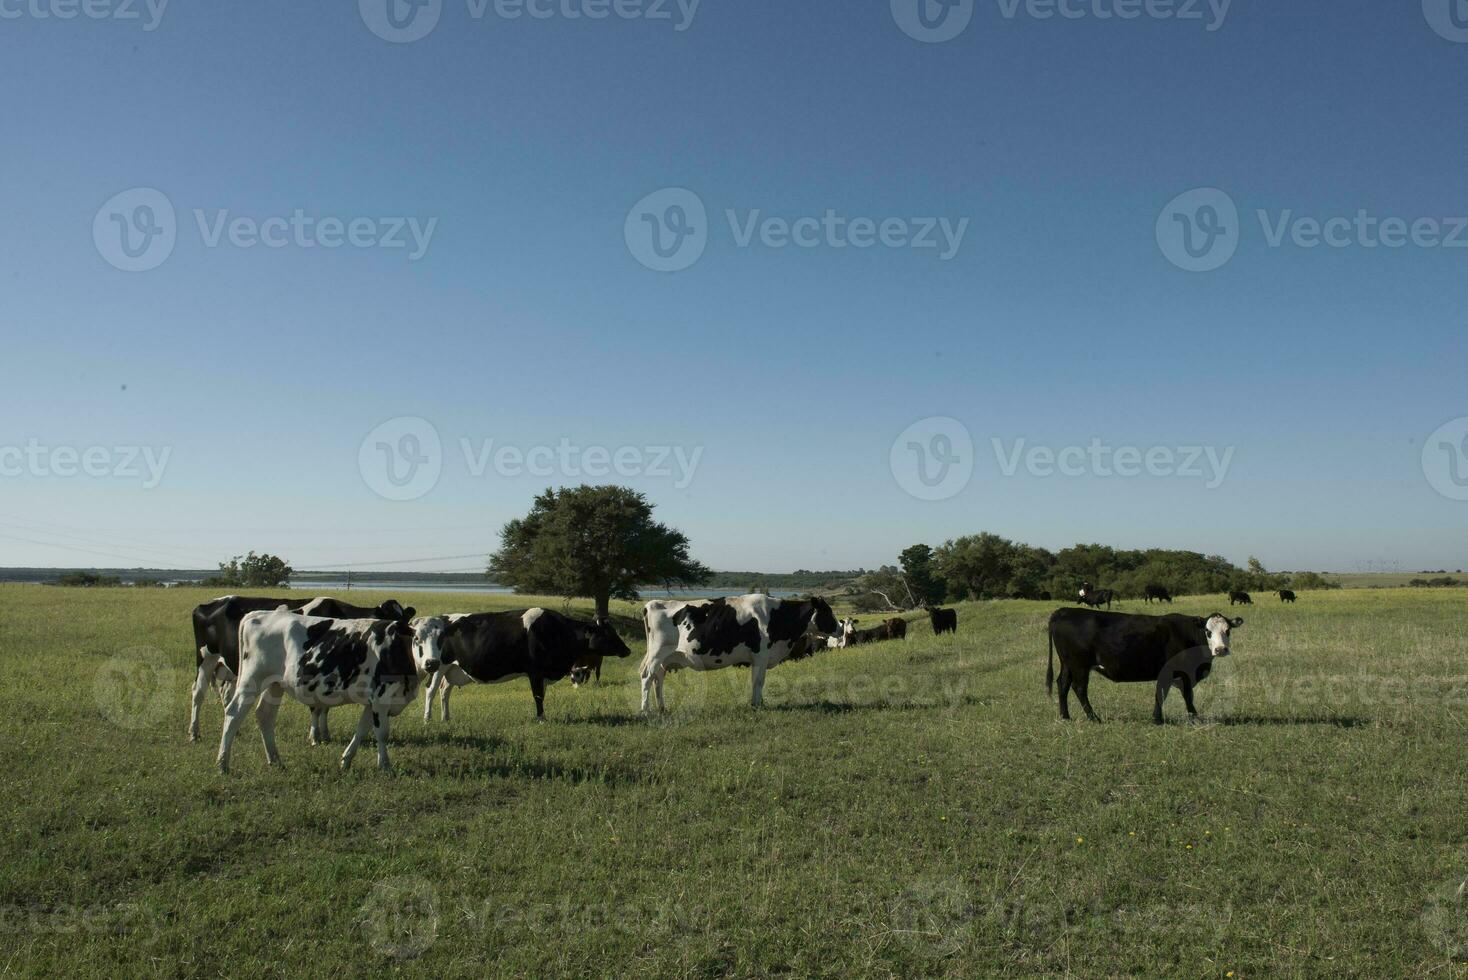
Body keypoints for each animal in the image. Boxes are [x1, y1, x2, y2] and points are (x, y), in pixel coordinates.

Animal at [214, 604, 440, 774]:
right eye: (417, 638)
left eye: (441, 639)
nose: (432, 663)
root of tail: (259, 613)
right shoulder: (381, 698)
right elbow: (381, 733)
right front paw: (385, 767)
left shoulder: (372, 702)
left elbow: (362, 730)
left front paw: (346, 761)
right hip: (251, 680)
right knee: (234, 713)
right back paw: (222, 764)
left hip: (275, 684)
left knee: (265, 715)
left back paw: (276, 761)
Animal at [422, 607, 634, 724]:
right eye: (607, 633)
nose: (627, 650)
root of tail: (442, 618)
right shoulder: (535, 671)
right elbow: (538, 696)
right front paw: (541, 719)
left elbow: (542, 695)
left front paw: (543, 716)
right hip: (438, 665)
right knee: (431, 690)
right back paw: (427, 719)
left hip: (453, 669)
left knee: (444, 690)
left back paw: (446, 718)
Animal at [640, 589, 839, 712]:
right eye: (828, 612)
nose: (839, 629)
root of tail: (653, 603)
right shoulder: (761, 655)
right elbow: (758, 681)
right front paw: (757, 705)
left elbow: (755, 681)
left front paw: (757, 703)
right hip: (657, 653)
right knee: (647, 677)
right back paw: (645, 710)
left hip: (665, 658)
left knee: (658, 678)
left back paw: (662, 708)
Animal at [1045, 607, 1238, 724]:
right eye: (1208, 631)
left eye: (1227, 630)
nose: (1221, 649)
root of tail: (1065, 611)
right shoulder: (1176, 672)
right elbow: (1168, 694)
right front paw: (1161, 719)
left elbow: (1182, 695)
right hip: (1080, 666)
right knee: (1079, 688)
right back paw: (1094, 718)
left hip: (1068, 664)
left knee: (1062, 684)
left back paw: (1065, 717)